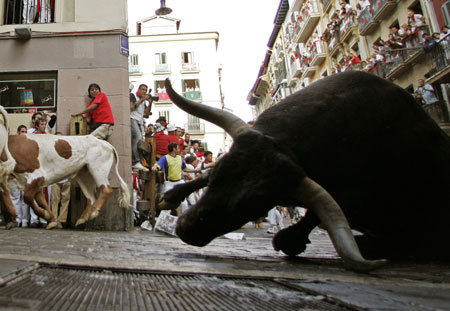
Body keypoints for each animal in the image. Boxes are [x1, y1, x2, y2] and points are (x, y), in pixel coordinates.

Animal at [0, 107, 130, 229]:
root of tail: (105, 143)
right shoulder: (31, 182)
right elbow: (40, 201)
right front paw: (50, 218)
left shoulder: (37, 177)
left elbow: (28, 198)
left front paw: (46, 216)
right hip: (84, 174)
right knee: (91, 198)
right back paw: (83, 219)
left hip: (98, 169)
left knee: (106, 190)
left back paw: (93, 212)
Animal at [162, 72, 450, 272]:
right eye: (219, 174)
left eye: (254, 205)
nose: (186, 228)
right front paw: (172, 196)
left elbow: (314, 216)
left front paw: (290, 239)